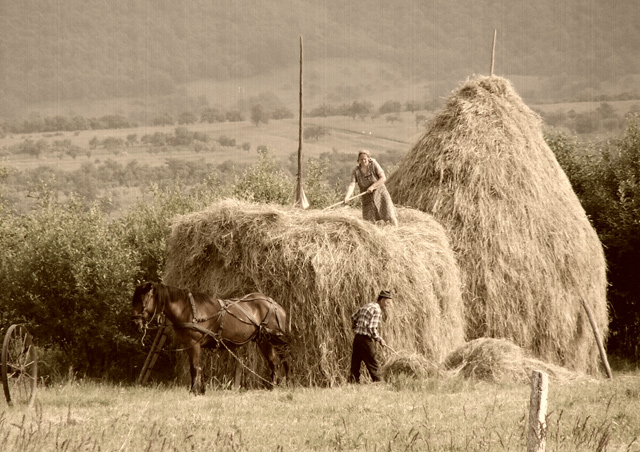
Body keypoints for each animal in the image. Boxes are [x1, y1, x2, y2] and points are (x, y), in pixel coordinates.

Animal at [132, 280, 292, 394]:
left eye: (143, 300)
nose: (135, 321)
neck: (189, 310)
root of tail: (276, 305)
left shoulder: (194, 344)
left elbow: (195, 367)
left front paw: (194, 391)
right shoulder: (190, 345)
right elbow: (198, 367)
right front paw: (200, 390)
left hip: (272, 339)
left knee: (282, 360)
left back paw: (282, 384)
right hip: (263, 340)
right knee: (274, 363)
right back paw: (273, 387)